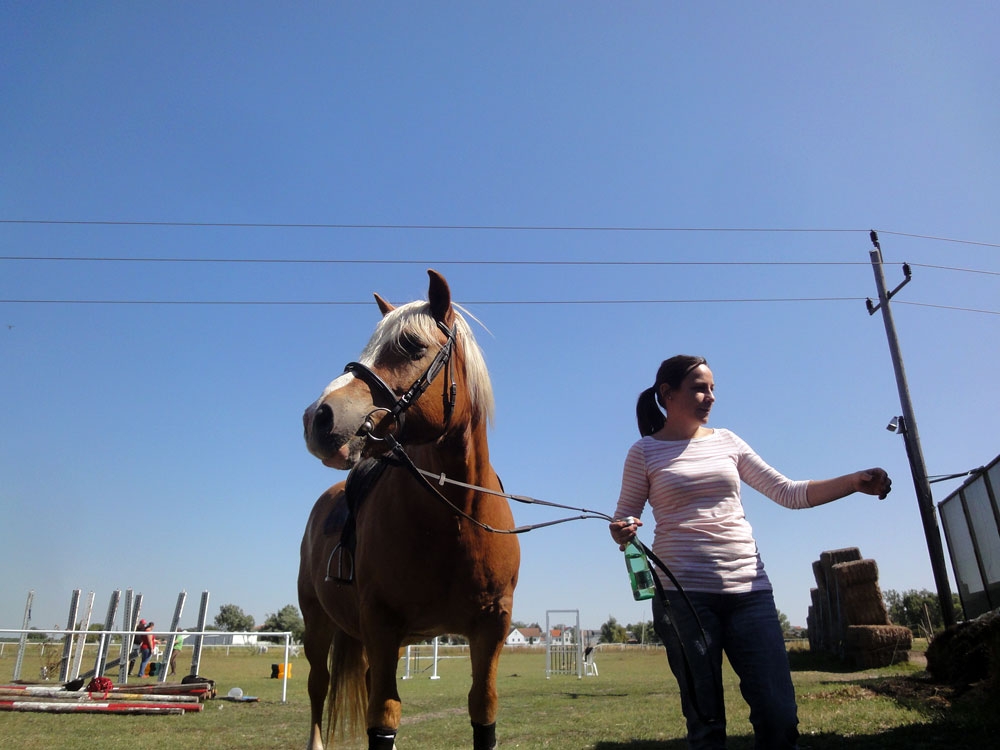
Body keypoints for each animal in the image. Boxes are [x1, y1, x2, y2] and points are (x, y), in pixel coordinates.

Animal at [296, 268, 520, 748]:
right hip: (318, 624)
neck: (453, 517)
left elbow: (484, 709)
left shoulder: (491, 628)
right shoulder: (381, 624)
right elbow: (384, 716)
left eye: (412, 346)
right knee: (318, 687)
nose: (318, 417)